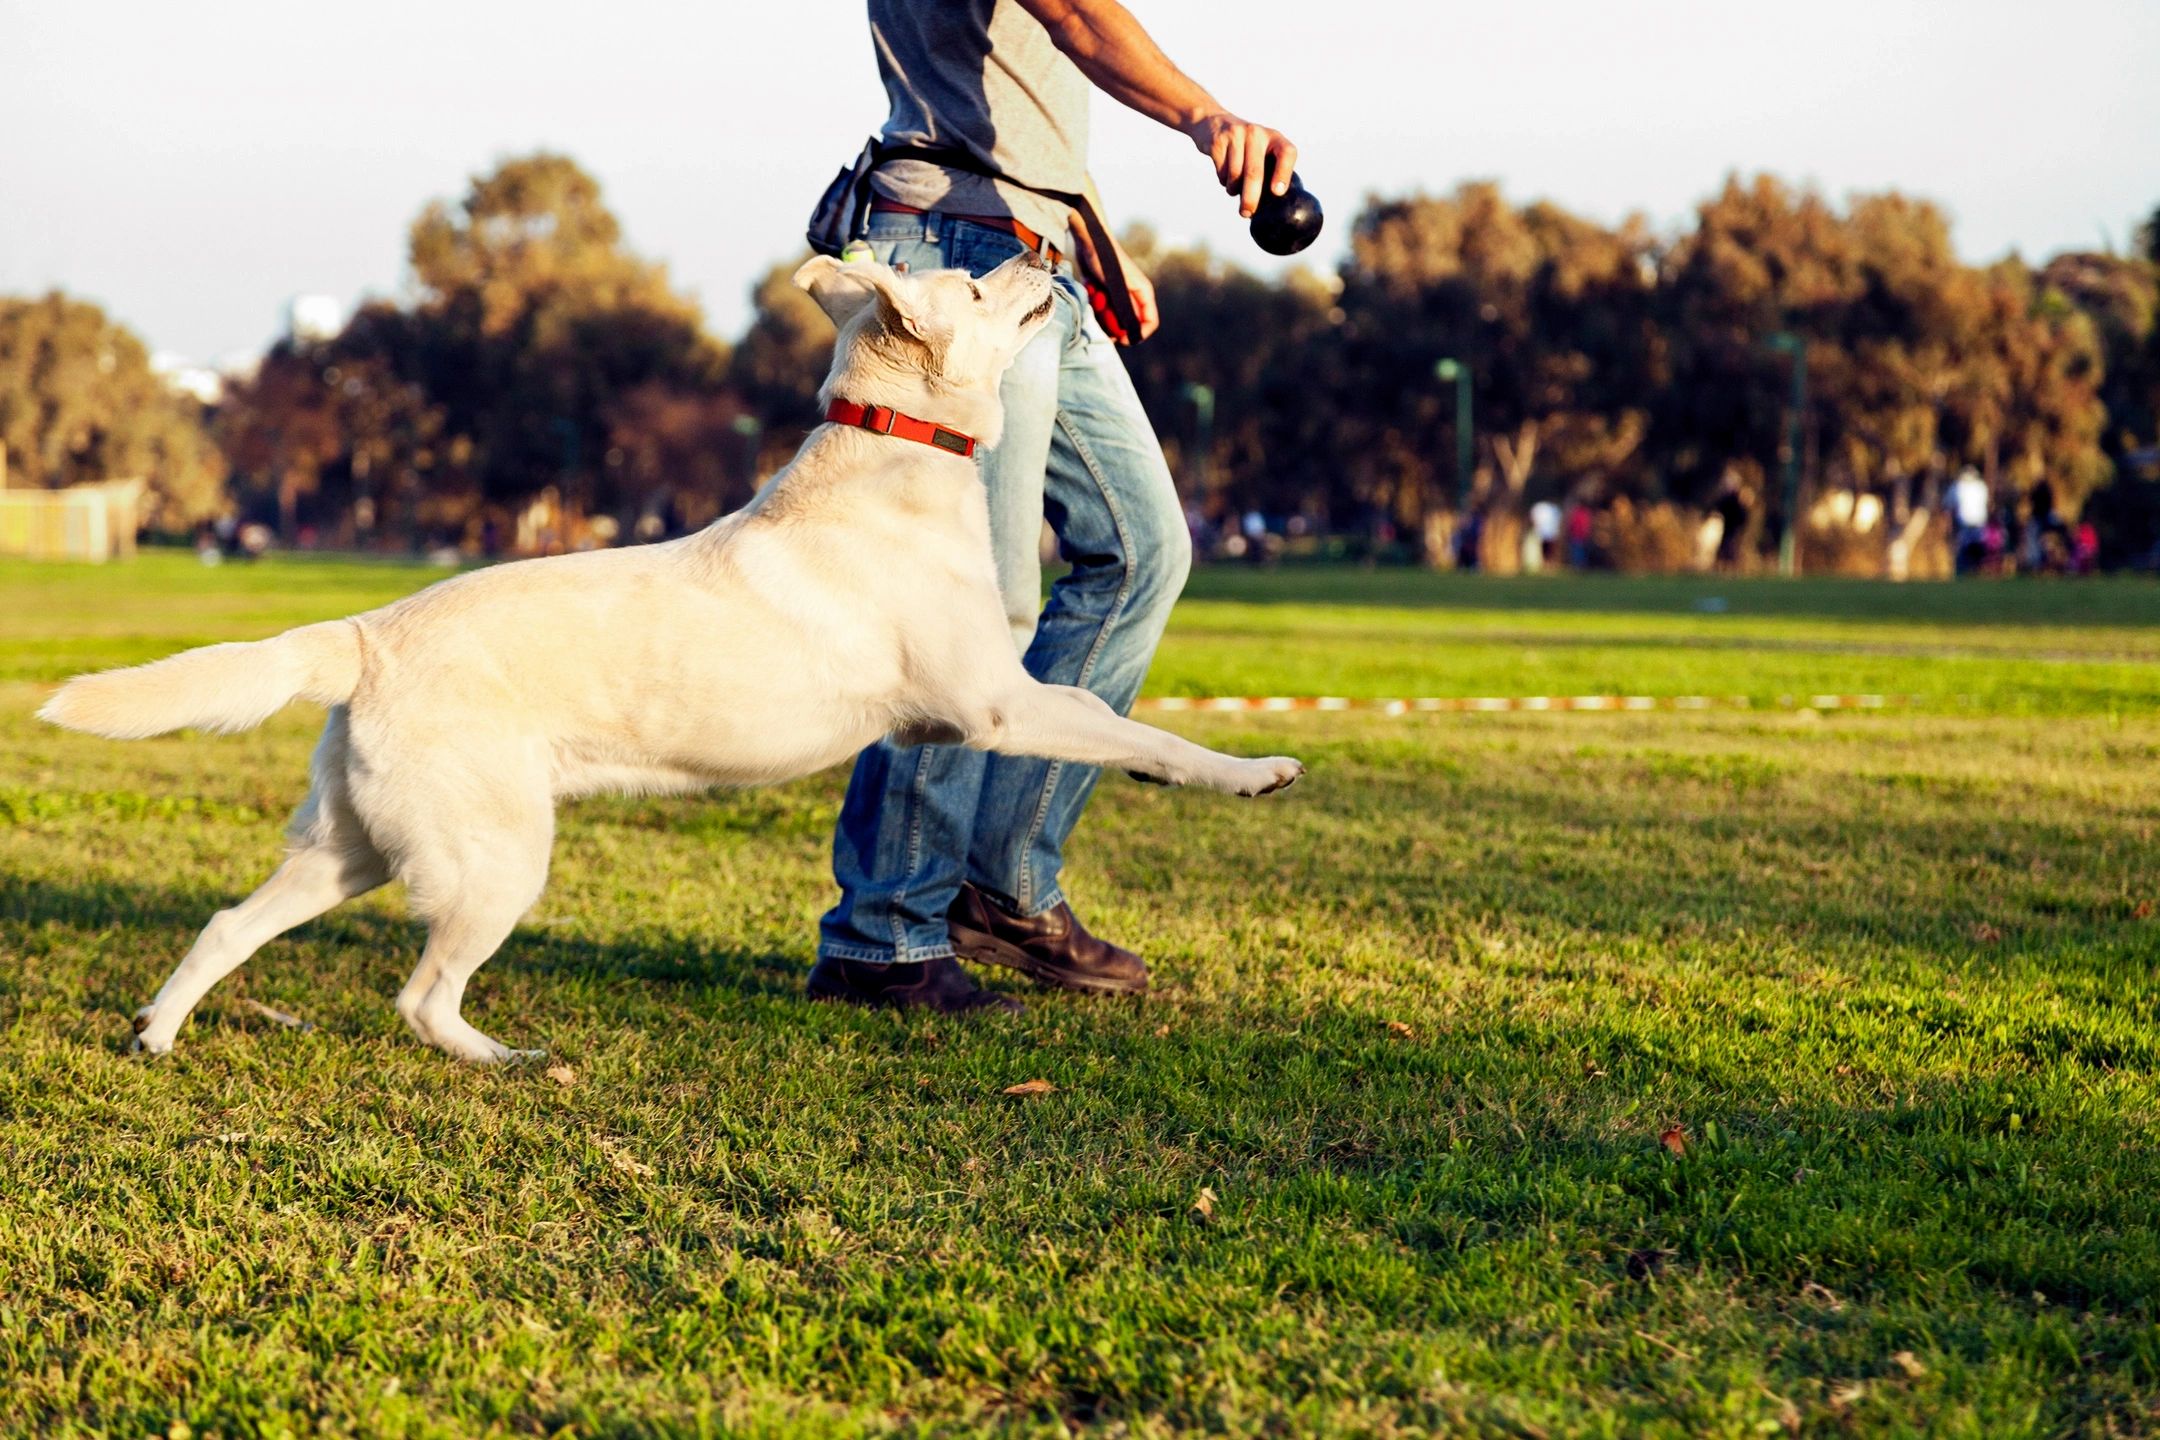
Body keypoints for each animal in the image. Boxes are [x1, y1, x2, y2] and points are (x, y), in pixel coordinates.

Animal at [42, 248, 1296, 1066]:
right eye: (981, 287)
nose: (1047, 248)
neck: (893, 455)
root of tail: (364, 635)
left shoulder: (976, 712)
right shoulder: (996, 704)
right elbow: (1133, 728)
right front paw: (1250, 773)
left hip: (352, 849)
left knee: (227, 924)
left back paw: (157, 1033)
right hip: (496, 860)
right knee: (420, 996)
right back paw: (501, 1060)